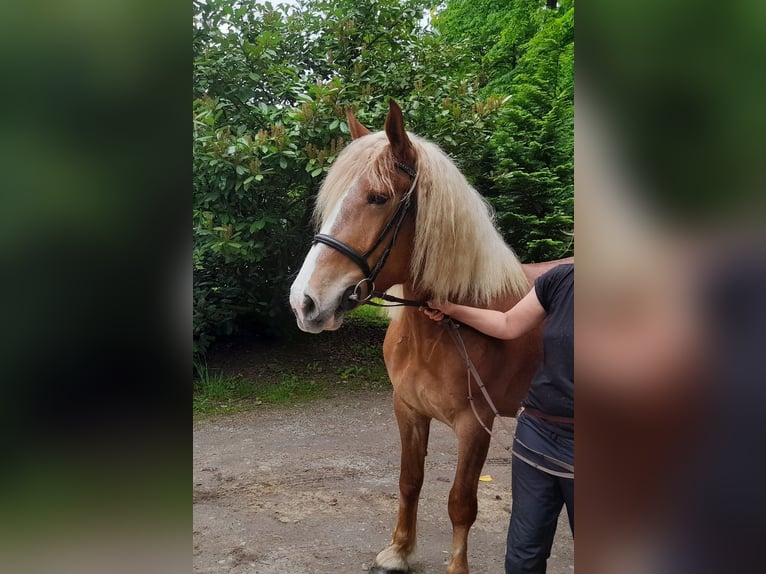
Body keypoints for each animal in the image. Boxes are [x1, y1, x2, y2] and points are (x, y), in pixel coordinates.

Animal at [292, 100, 572, 574]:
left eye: (378, 197)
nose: (304, 301)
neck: (441, 330)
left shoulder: (475, 426)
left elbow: (461, 503)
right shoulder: (407, 410)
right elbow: (410, 480)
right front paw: (399, 551)